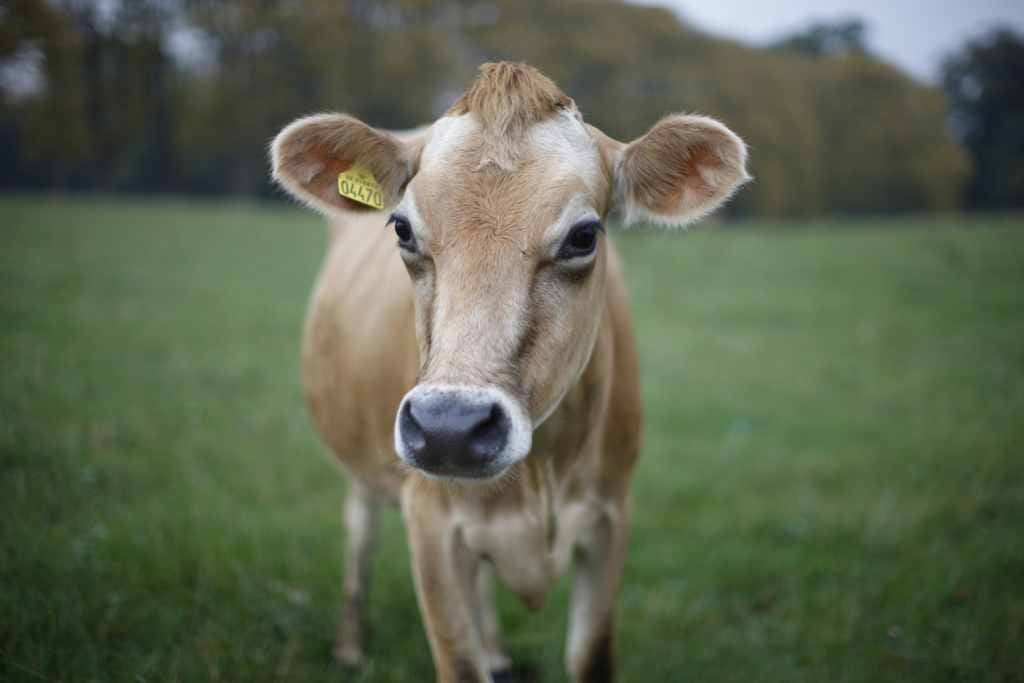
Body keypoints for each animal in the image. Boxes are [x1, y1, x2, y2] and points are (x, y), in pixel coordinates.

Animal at [270, 62, 748, 682]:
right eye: (402, 229)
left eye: (584, 235)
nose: (449, 427)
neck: (540, 475)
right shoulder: (428, 519)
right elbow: (459, 658)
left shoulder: (611, 514)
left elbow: (589, 655)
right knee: (360, 525)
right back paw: (350, 644)